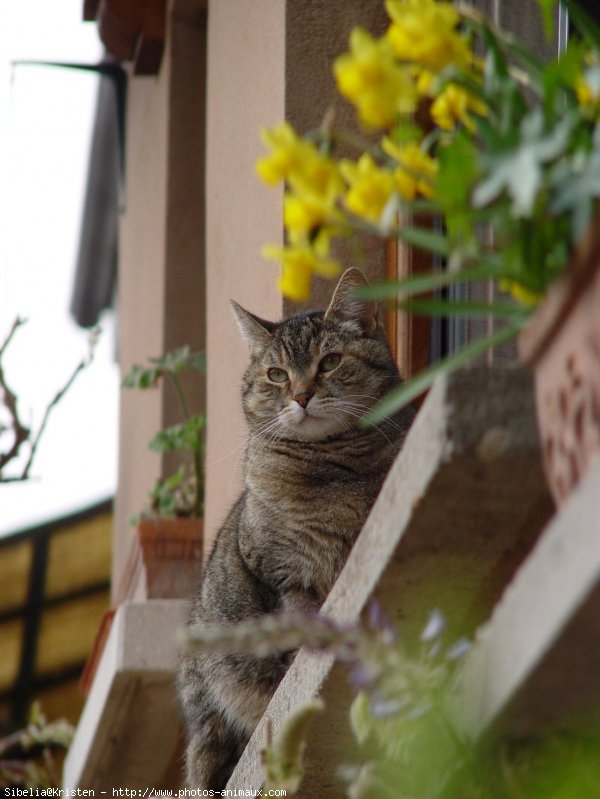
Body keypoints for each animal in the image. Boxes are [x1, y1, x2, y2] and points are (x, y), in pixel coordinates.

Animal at [176, 268, 414, 788]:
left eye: (330, 362)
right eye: (277, 375)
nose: (302, 396)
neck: (330, 470)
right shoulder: (280, 571)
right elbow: (298, 620)